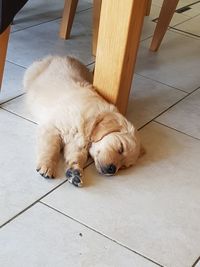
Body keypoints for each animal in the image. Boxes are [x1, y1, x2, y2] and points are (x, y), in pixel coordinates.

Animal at [23, 55, 141, 187]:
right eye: (121, 148)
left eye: (124, 166)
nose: (112, 170)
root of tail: (59, 56)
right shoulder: (52, 128)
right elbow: (50, 148)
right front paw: (47, 166)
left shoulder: (76, 144)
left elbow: (77, 156)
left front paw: (75, 172)